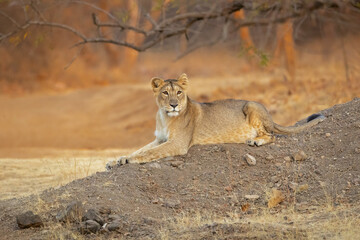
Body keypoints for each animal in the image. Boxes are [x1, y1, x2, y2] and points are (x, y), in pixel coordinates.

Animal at [105, 74, 324, 170]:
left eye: (179, 92)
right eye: (165, 93)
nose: (174, 105)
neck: (165, 116)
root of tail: (271, 116)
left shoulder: (178, 143)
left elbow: (148, 153)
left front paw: (129, 161)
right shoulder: (160, 139)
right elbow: (140, 149)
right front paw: (118, 159)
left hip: (251, 106)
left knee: (271, 136)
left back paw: (255, 141)